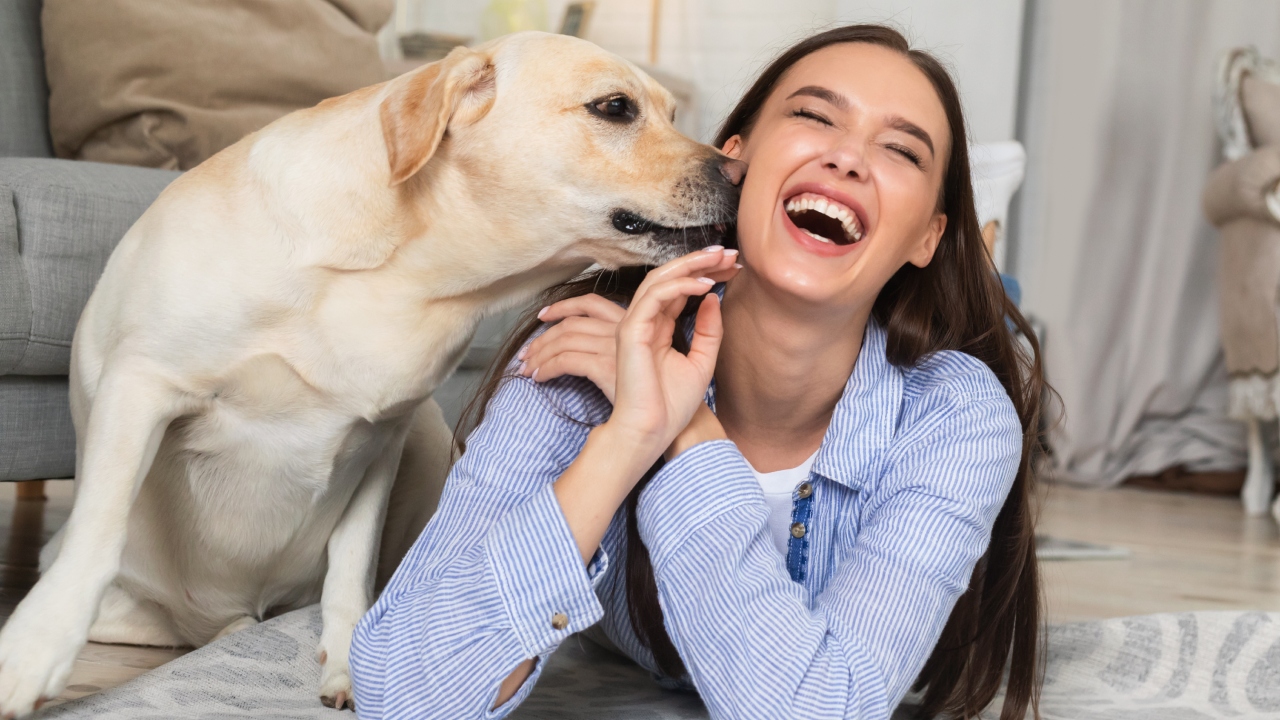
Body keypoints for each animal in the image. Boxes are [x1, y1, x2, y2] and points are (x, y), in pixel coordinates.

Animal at [0, 32, 742, 712]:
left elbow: (351, 566)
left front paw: (346, 664)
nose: (739, 174)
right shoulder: (142, 384)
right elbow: (99, 532)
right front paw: (33, 653)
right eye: (615, 108)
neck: (405, 273)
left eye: (673, 113)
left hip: (428, 438)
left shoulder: (384, 434)